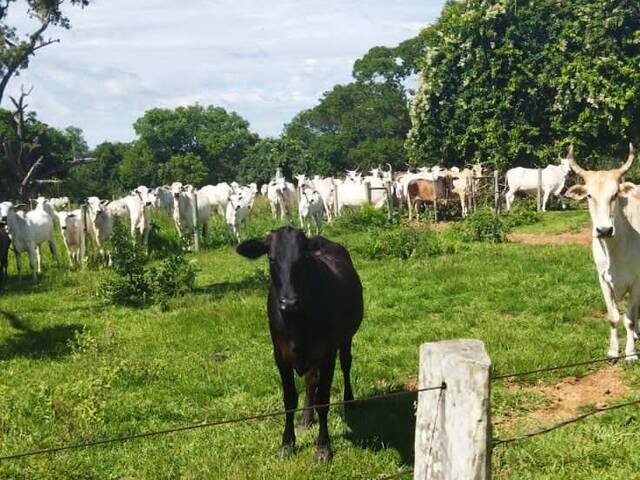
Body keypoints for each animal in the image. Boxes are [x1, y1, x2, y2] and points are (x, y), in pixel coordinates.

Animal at [236, 227, 364, 464]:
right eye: (271, 258)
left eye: (302, 258)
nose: (288, 303)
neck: (297, 321)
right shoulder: (280, 355)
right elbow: (289, 399)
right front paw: (287, 444)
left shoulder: (327, 354)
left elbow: (323, 399)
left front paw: (323, 448)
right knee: (310, 381)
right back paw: (306, 418)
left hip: (345, 339)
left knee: (346, 365)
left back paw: (349, 401)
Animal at [564, 144, 640, 362]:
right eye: (589, 195)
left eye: (615, 195)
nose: (604, 230)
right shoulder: (603, 279)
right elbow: (614, 317)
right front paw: (613, 351)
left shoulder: (637, 281)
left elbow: (629, 318)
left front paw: (631, 354)